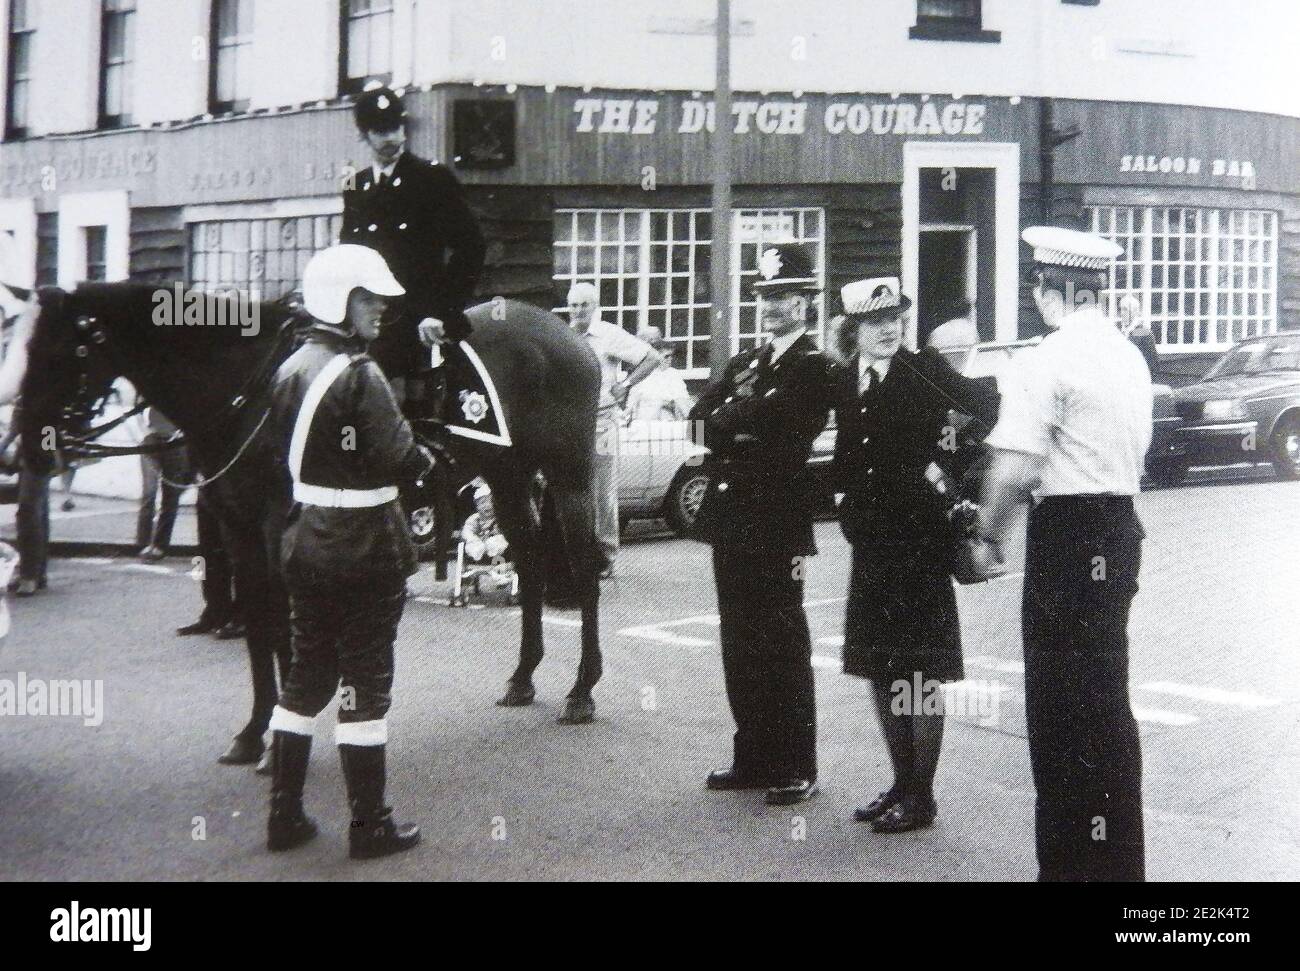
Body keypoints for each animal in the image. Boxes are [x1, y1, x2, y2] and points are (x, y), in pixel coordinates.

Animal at [16, 283, 603, 769]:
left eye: (62, 353)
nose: (27, 445)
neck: (247, 389)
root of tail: (567, 334)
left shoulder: (280, 529)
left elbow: (282, 629)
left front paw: (278, 739)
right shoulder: (240, 532)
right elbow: (258, 626)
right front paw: (253, 733)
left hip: (570, 475)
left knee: (583, 568)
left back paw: (582, 691)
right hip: (508, 475)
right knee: (530, 562)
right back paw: (523, 677)